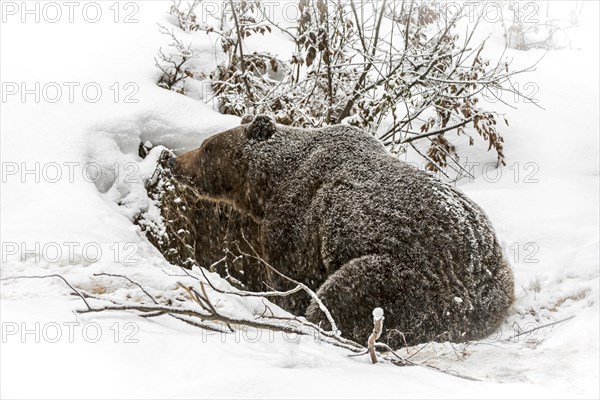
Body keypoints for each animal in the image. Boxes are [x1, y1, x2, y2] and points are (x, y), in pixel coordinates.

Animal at [170, 115, 516, 346]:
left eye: (206, 147)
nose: (174, 160)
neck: (270, 183)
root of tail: (475, 295)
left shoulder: (297, 220)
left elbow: (293, 277)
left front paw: (285, 305)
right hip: (498, 279)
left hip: (413, 278)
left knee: (346, 292)